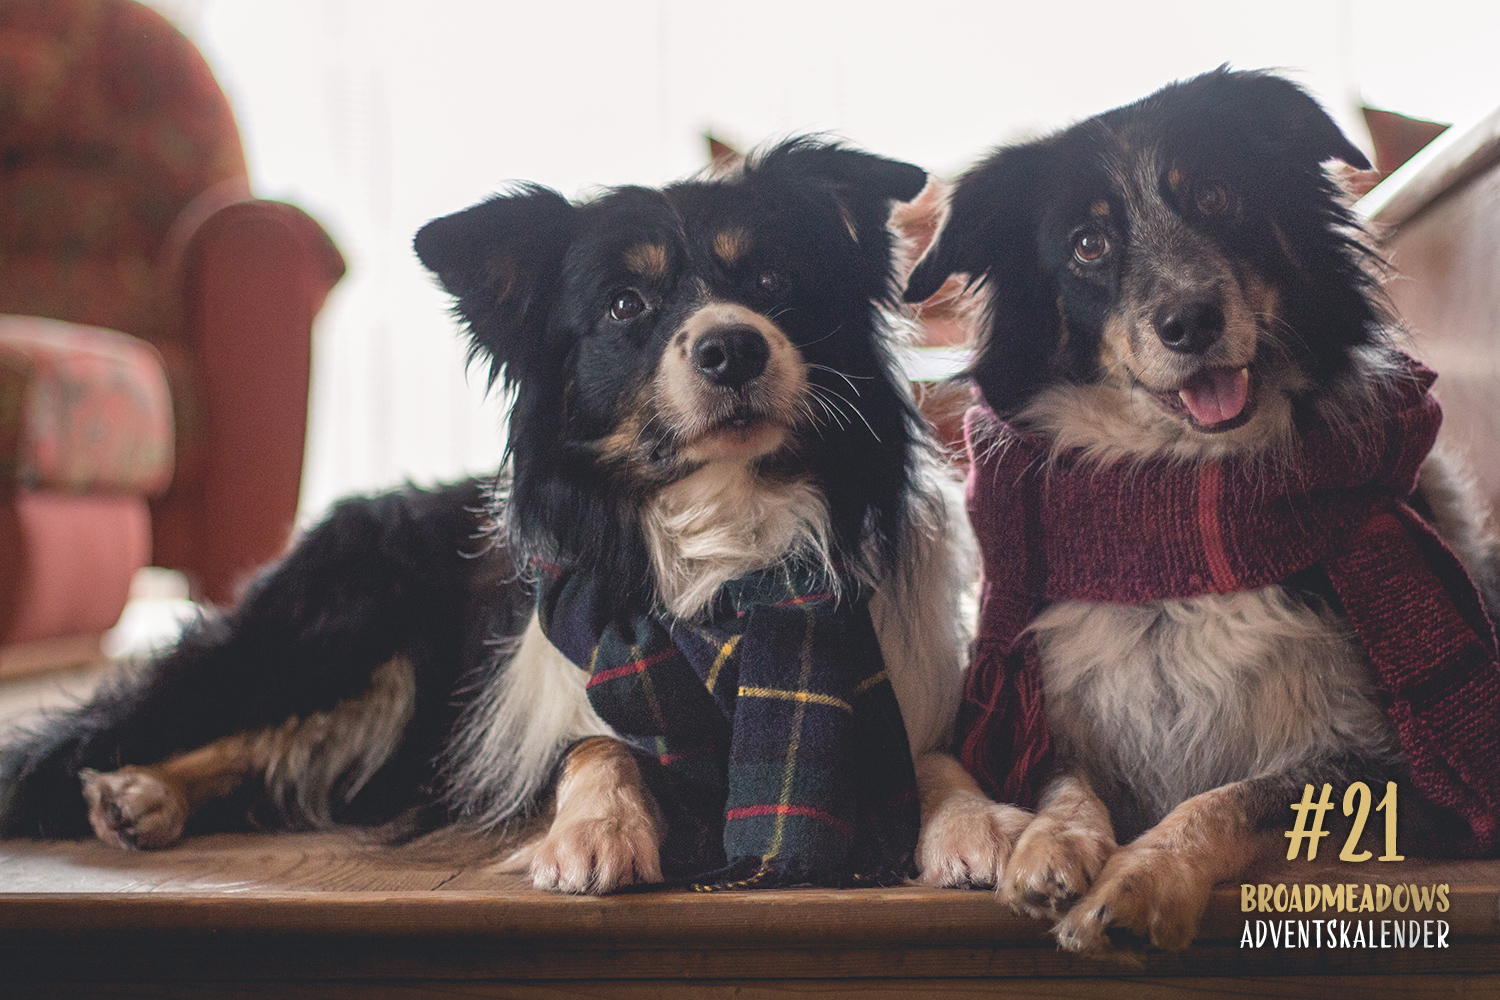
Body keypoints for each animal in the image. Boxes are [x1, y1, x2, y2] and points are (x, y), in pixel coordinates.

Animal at [900, 66, 1500, 953]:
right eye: (1088, 243)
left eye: (1216, 197)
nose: (1190, 322)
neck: (1176, 500)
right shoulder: (1045, 711)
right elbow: (1061, 775)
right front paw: (1052, 844)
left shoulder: (1397, 773)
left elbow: (1235, 797)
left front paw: (1140, 882)